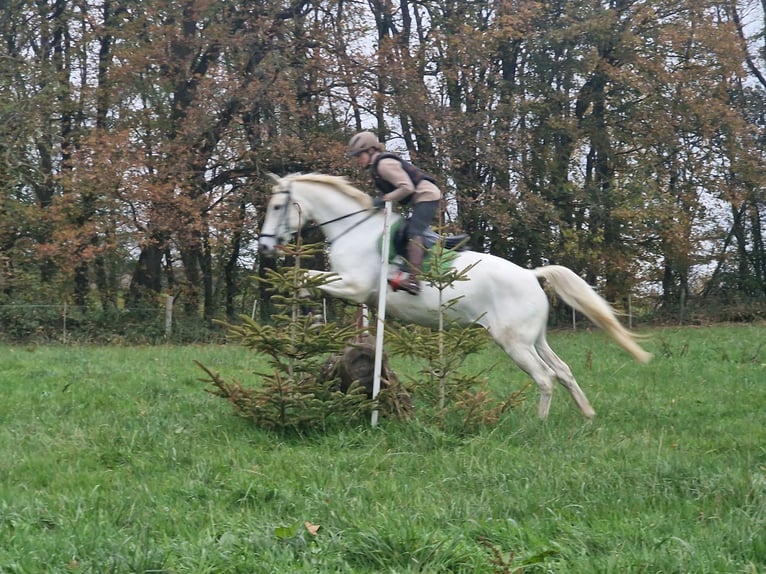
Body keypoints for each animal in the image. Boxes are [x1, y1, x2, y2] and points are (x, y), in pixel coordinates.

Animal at [260, 173, 652, 420]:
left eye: (277, 207)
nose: (264, 246)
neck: (351, 228)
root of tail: (530, 275)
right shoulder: (357, 293)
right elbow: (309, 282)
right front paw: (310, 315)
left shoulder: (353, 284)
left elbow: (305, 277)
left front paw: (309, 314)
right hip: (535, 338)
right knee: (564, 370)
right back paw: (587, 414)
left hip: (514, 342)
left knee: (545, 377)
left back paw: (538, 424)